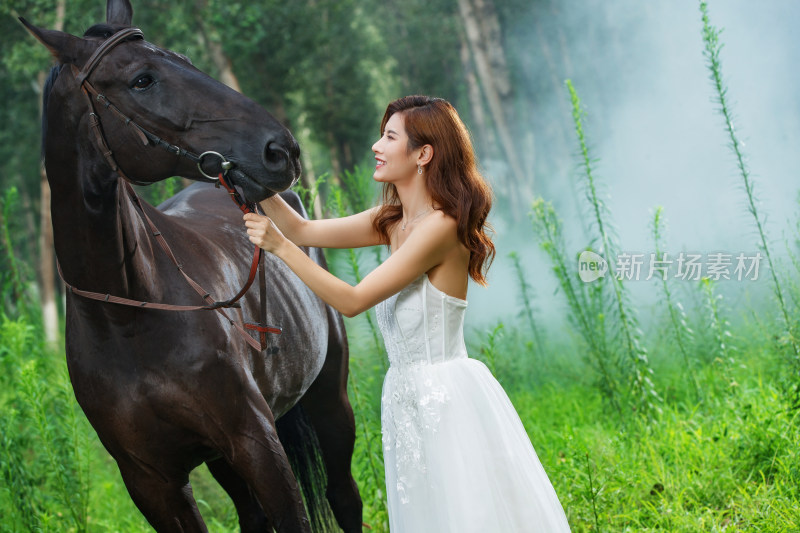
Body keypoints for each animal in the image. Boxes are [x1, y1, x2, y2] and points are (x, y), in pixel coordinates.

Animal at [21, 1, 360, 532]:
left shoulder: (256, 443)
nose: (280, 149)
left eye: (183, 59)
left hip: (329, 400)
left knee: (344, 495)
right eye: (141, 79)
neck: (129, 316)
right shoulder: (152, 483)